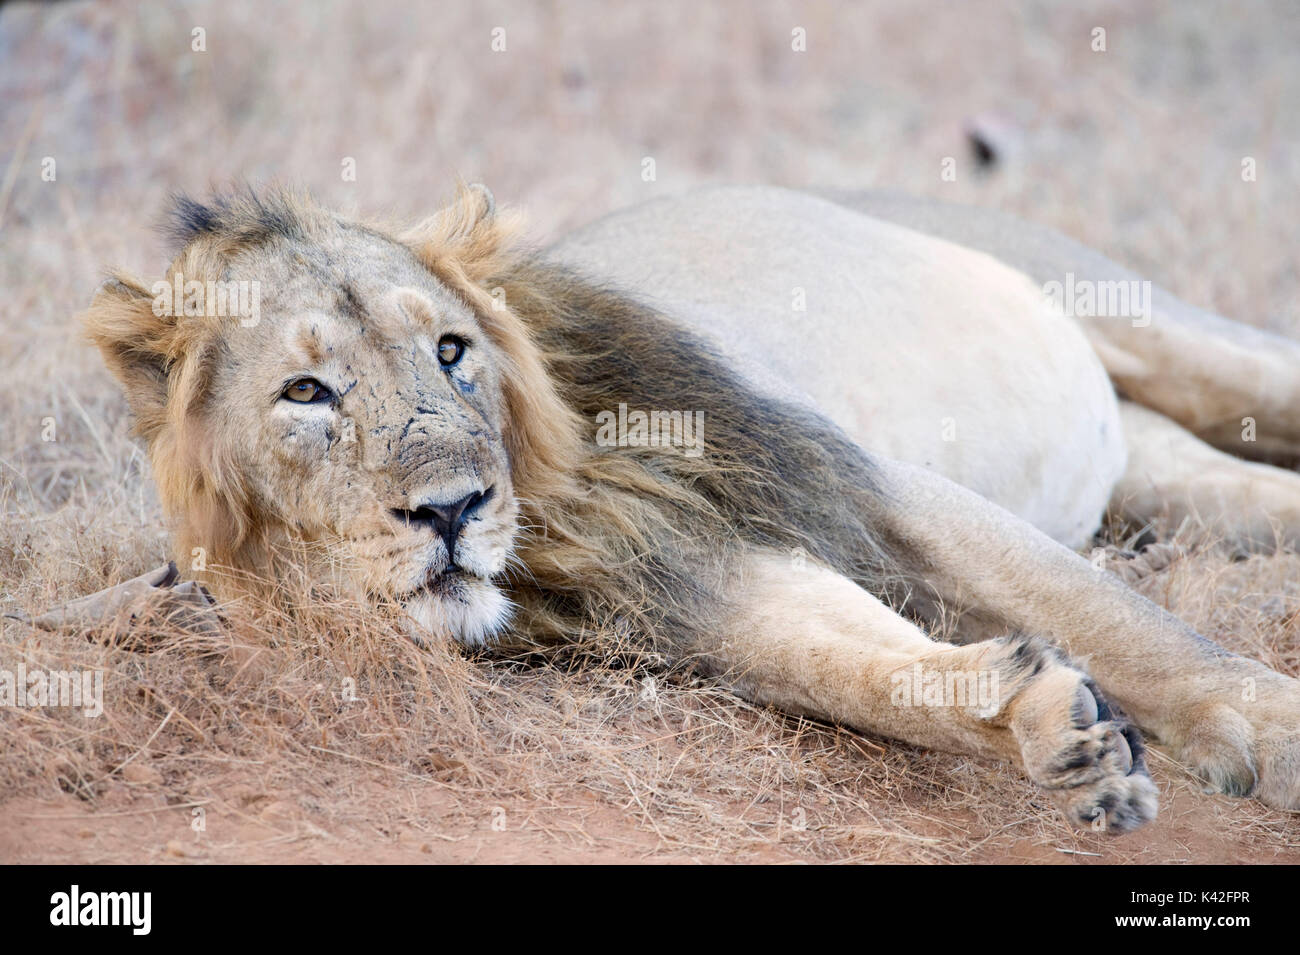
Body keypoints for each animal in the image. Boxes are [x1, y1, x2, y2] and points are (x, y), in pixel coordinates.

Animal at [79, 183, 1300, 834]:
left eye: (451, 350)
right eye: (306, 393)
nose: (456, 507)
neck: (557, 520)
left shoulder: (856, 481)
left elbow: (1115, 620)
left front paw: (1272, 732)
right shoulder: (679, 582)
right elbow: (854, 667)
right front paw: (1045, 720)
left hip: (1151, 324)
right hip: (1162, 469)